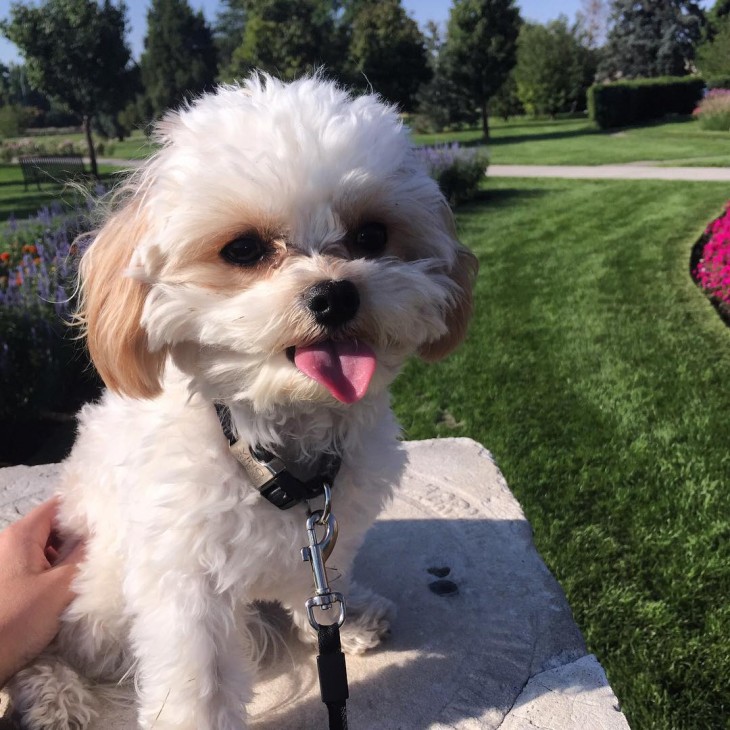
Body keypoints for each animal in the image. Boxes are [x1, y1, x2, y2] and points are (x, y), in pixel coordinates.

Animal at [9, 74, 478, 728]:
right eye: (245, 250)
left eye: (371, 235)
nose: (335, 295)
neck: (276, 452)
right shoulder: (184, 580)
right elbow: (198, 685)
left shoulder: (326, 532)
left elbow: (321, 580)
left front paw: (348, 616)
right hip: (90, 598)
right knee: (59, 654)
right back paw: (55, 697)